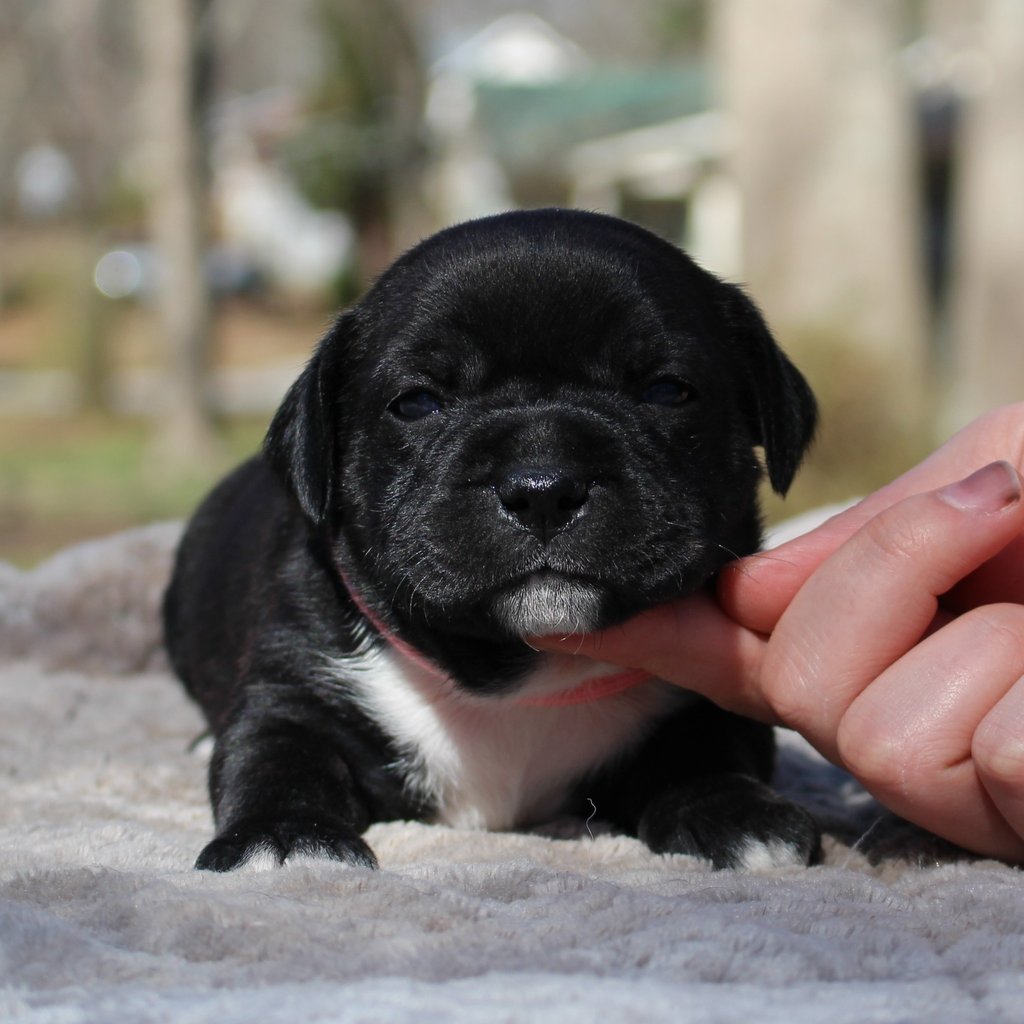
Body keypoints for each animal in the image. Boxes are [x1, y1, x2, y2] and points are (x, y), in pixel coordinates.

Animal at [163, 208, 821, 872]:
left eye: (667, 391)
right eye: (417, 402)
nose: (543, 486)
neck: (518, 680)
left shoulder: (708, 694)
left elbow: (704, 746)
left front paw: (736, 811)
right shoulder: (297, 687)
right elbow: (275, 757)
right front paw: (286, 837)